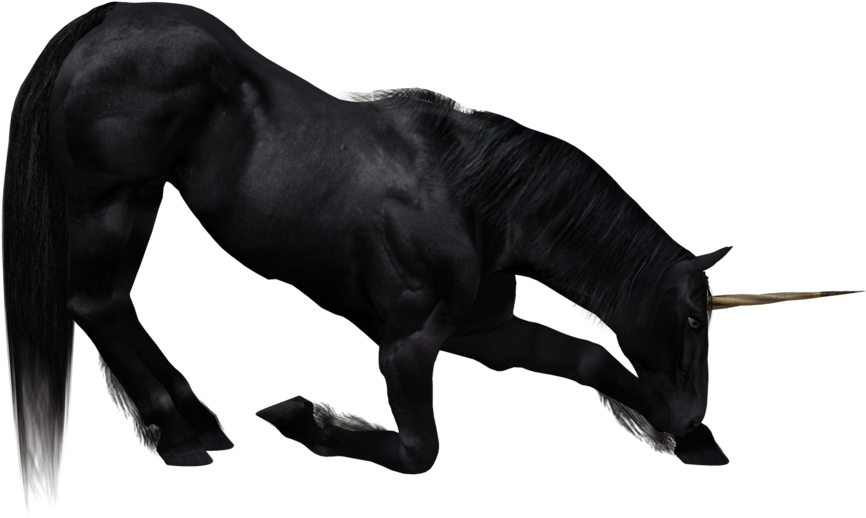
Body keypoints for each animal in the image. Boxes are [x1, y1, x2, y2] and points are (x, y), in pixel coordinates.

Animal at [5, 2, 864, 512]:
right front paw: (304, 418)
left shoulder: (484, 335)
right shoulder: (409, 344)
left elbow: (591, 361)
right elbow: (421, 451)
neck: (474, 196)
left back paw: (195, 422)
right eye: (691, 319)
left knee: (112, 308)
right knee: (98, 305)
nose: (691, 412)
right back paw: (181, 431)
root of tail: (107, 24)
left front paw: (685, 443)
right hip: (114, 202)